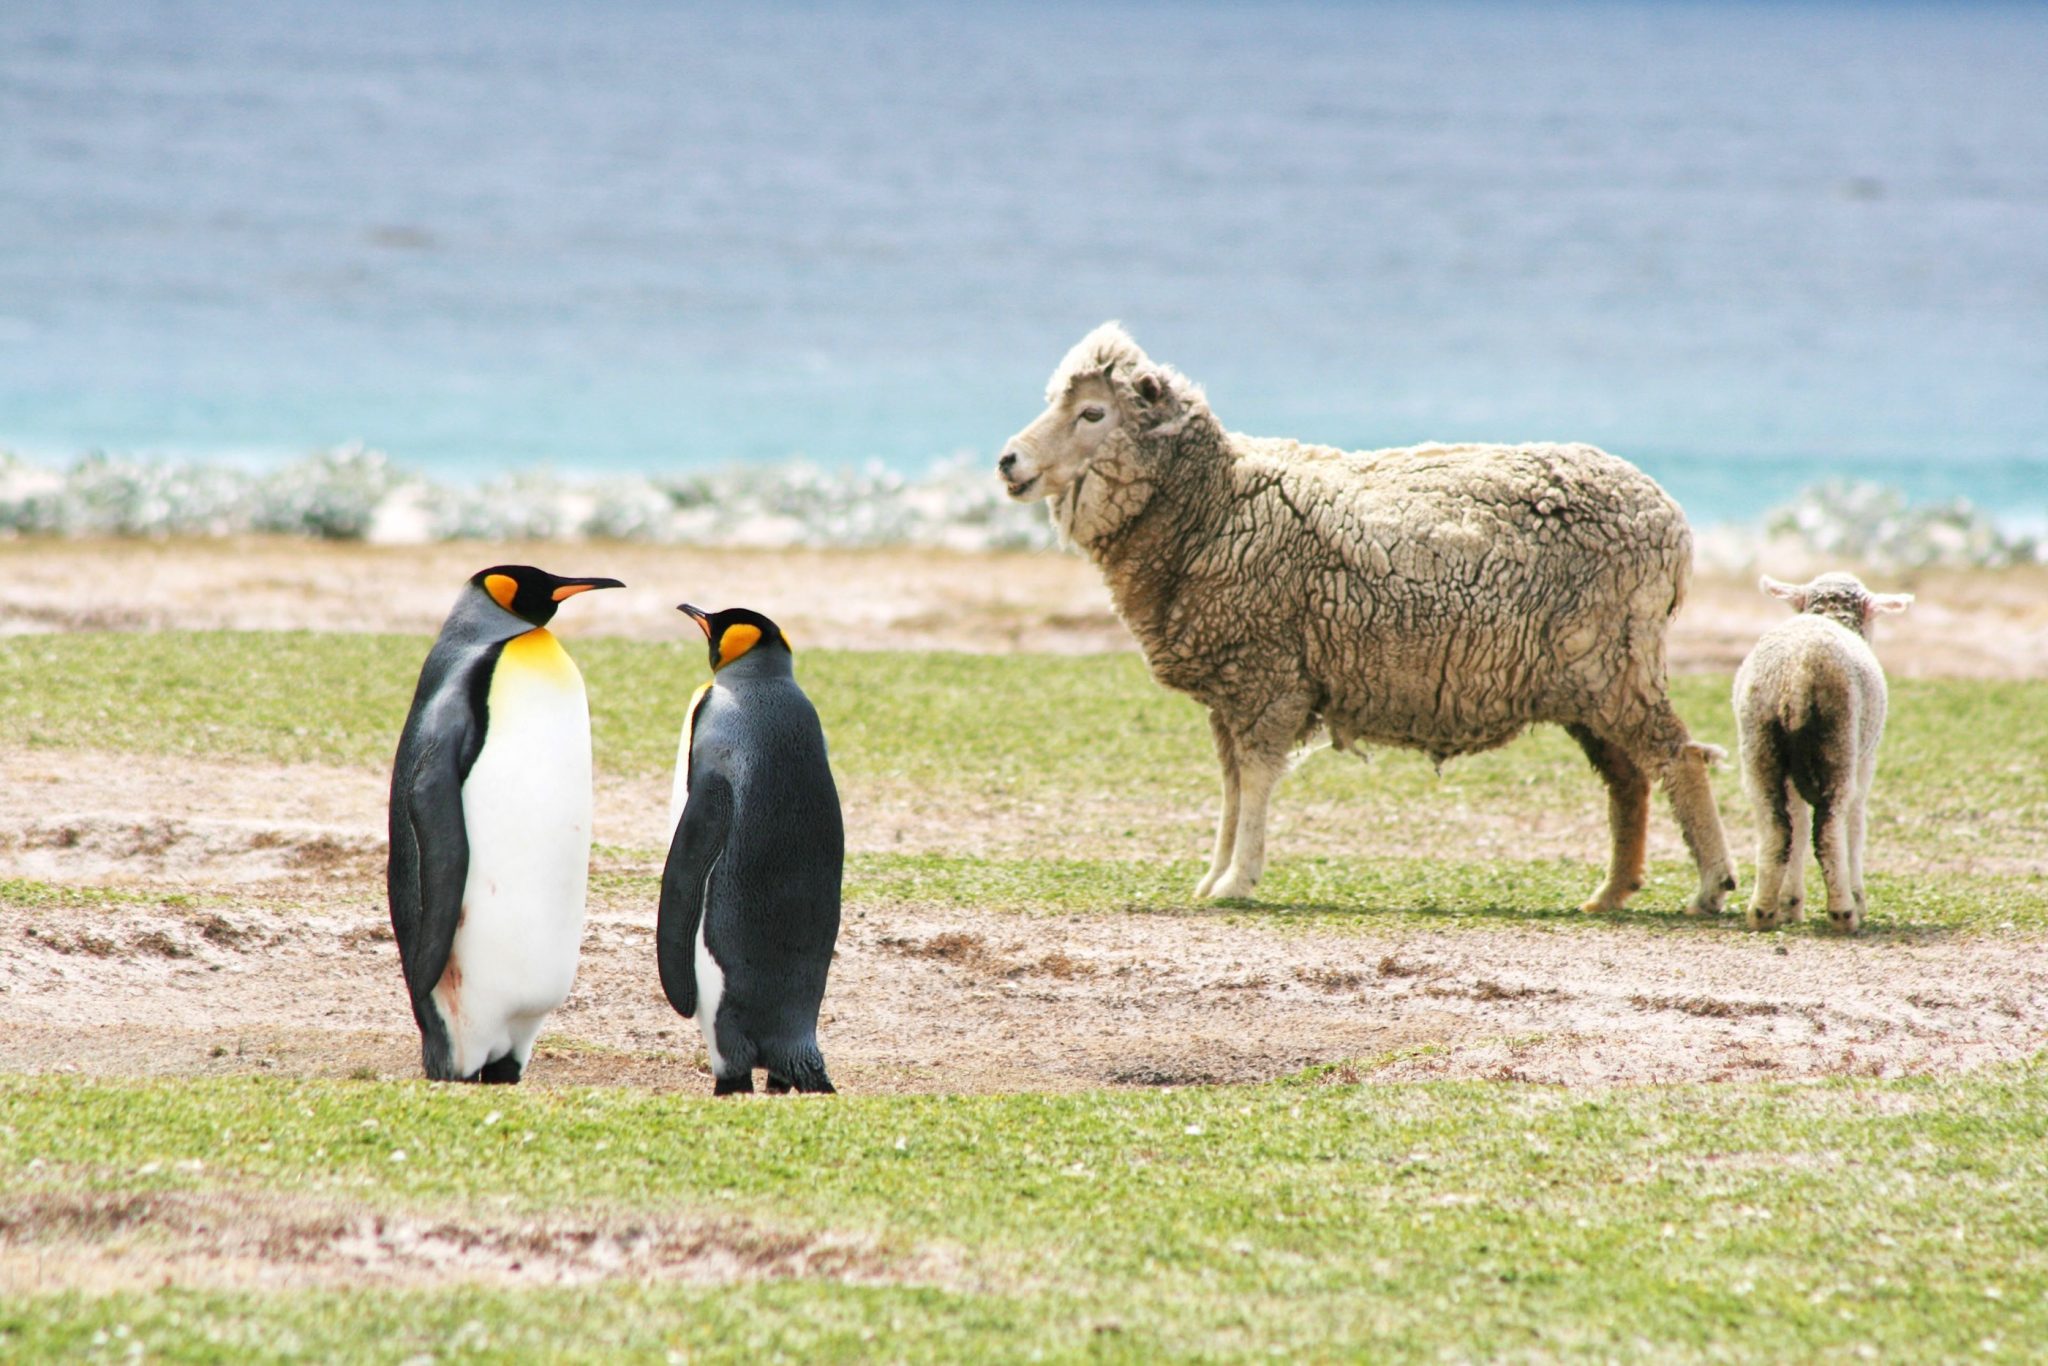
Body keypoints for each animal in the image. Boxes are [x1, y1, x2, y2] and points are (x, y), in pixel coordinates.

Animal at [996, 322, 1738, 915]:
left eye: (1093, 413)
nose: (1008, 460)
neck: (1214, 505)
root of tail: (1671, 519)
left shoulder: (1267, 674)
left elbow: (1254, 781)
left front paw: (1238, 879)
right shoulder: (1232, 687)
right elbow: (1231, 785)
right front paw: (1214, 876)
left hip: (1616, 664)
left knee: (1677, 758)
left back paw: (1711, 886)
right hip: (1588, 681)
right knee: (1629, 780)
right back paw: (1611, 893)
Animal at [1733, 572, 1912, 932]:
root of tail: (1797, 673)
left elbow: (1799, 826)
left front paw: (1790, 902)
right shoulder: (1865, 761)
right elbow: (1856, 826)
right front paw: (1859, 898)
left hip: (1758, 740)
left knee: (1777, 827)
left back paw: (1762, 911)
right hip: (1839, 739)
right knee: (1830, 829)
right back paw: (1844, 911)